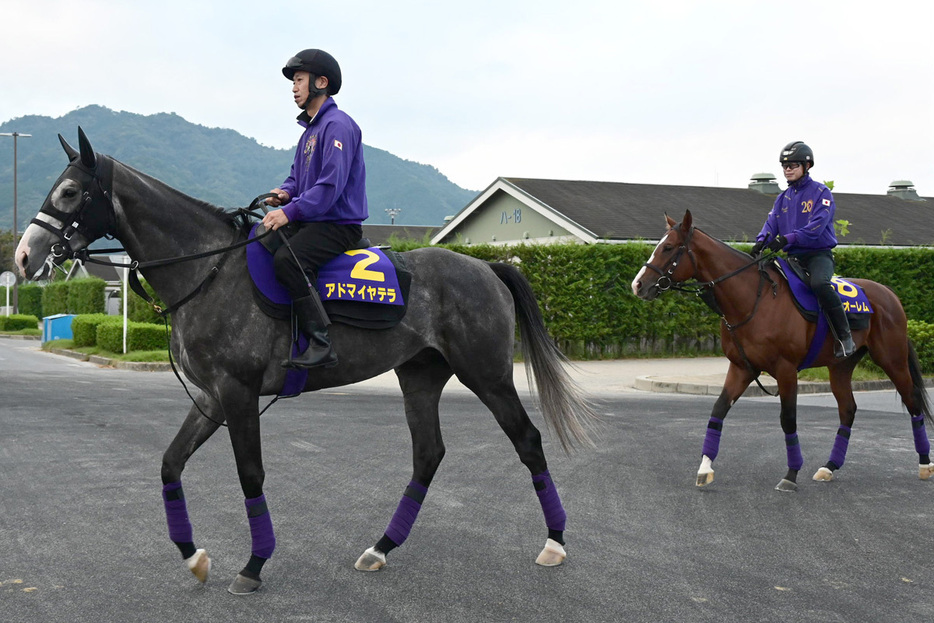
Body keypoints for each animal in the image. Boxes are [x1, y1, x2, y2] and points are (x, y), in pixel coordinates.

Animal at [632, 210, 932, 492]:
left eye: (668, 247)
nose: (638, 285)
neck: (756, 298)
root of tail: (890, 294)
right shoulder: (741, 368)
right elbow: (718, 410)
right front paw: (705, 468)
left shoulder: (786, 371)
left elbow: (788, 419)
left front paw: (791, 474)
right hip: (840, 367)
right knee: (848, 409)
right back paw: (830, 466)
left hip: (892, 360)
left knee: (913, 401)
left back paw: (924, 464)